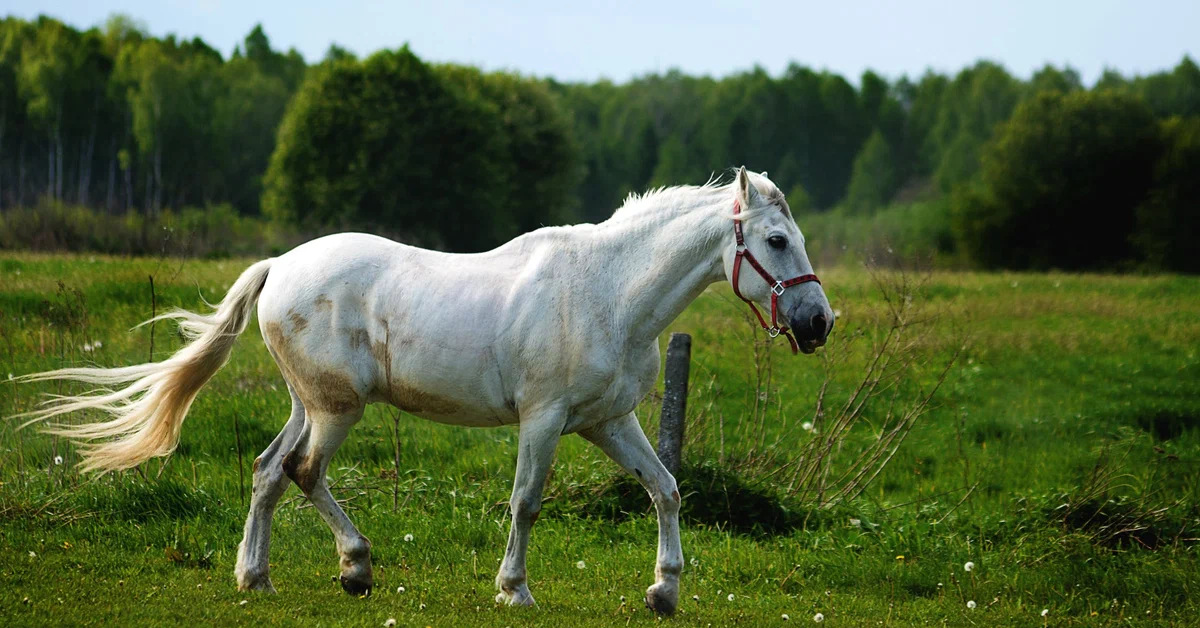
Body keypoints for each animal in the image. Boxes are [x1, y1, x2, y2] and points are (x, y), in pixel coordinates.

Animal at [16, 166, 835, 614]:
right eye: (774, 241)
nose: (818, 322)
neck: (607, 291)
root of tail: (280, 266)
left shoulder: (609, 421)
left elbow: (665, 489)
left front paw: (663, 592)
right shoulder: (543, 420)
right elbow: (526, 502)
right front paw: (514, 590)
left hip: (310, 403)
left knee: (268, 471)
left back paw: (257, 577)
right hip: (337, 409)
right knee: (302, 471)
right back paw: (355, 567)